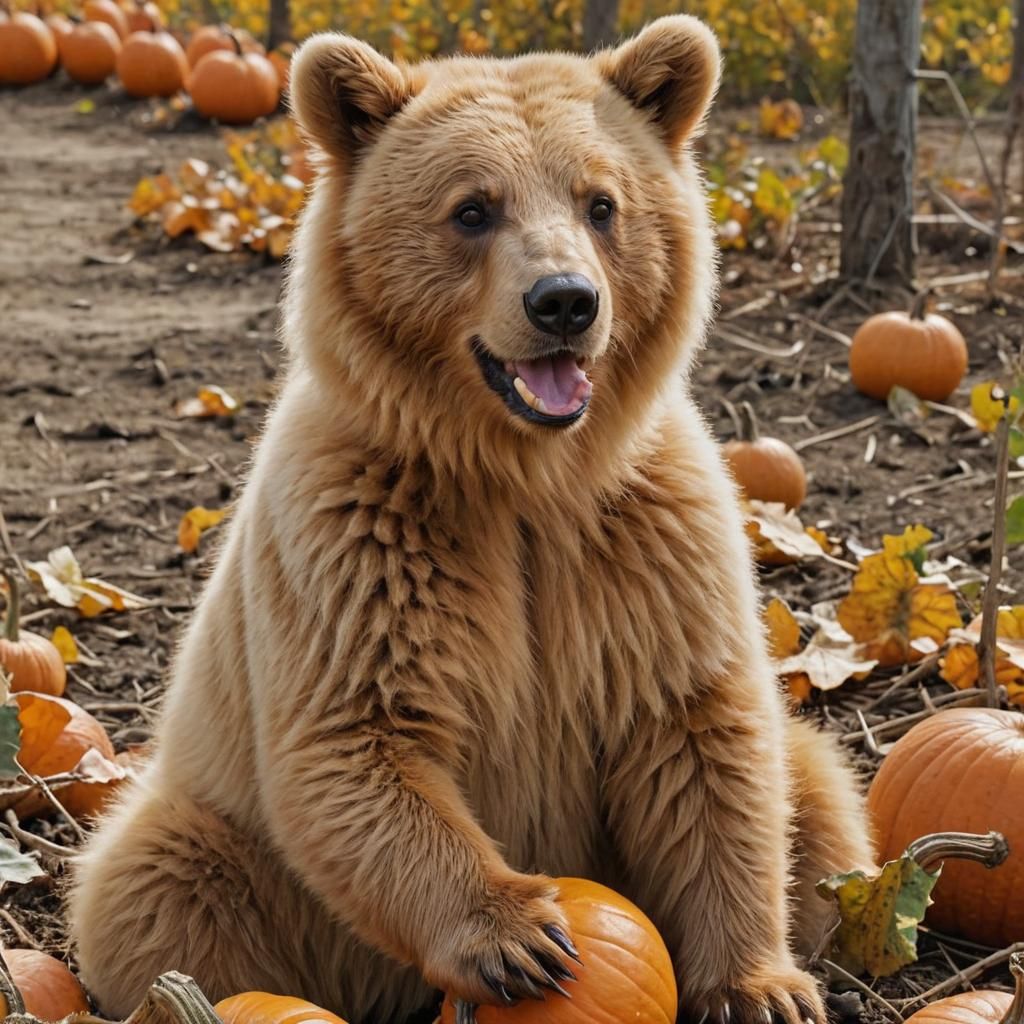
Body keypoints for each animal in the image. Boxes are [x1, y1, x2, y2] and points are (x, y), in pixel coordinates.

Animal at [68, 17, 873, 1024]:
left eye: (601, 202)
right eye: (472, 209)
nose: (564, 301)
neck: (521, 475)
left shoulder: (647, 544)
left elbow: (705, 743)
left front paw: (761, 986)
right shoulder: (358, 541)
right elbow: (356, 737)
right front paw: (521, 935)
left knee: (820, 793)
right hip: (219, 836)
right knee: (159, 891)